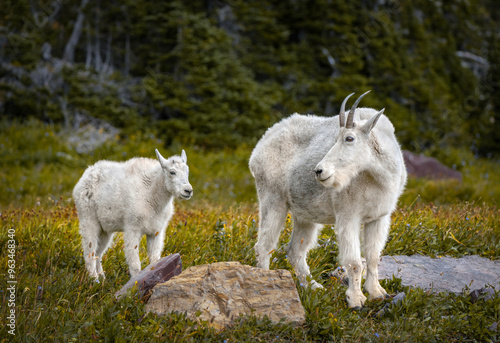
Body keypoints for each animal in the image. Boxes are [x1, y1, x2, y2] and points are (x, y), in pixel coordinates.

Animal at [72, 150, 193, 280]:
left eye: (187, 171)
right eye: (172, 172)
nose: (188, 190)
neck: (153, 194)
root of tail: (85, 176)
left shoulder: (156, 231)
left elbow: (154, 259)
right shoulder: (133, 228)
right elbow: (135, 263)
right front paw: (135, 282)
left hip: (105, 229)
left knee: (98, 253)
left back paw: (103, 279)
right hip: (88, 218)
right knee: (89, 251)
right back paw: (93, 280)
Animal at [249, 91, 406, 310]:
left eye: (349, 138)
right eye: (335, 138)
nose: (319, 171)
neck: (378, 176)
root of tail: (260, 146)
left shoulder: (379, 217)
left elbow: (373, 257)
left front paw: (377, 293)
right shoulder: (348, 215)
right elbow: (354, 261)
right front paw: (356, 300)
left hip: (304, 215)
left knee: (295, 251)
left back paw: (313, 287)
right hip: (273, 199)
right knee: (264, 246)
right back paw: (265, 281)